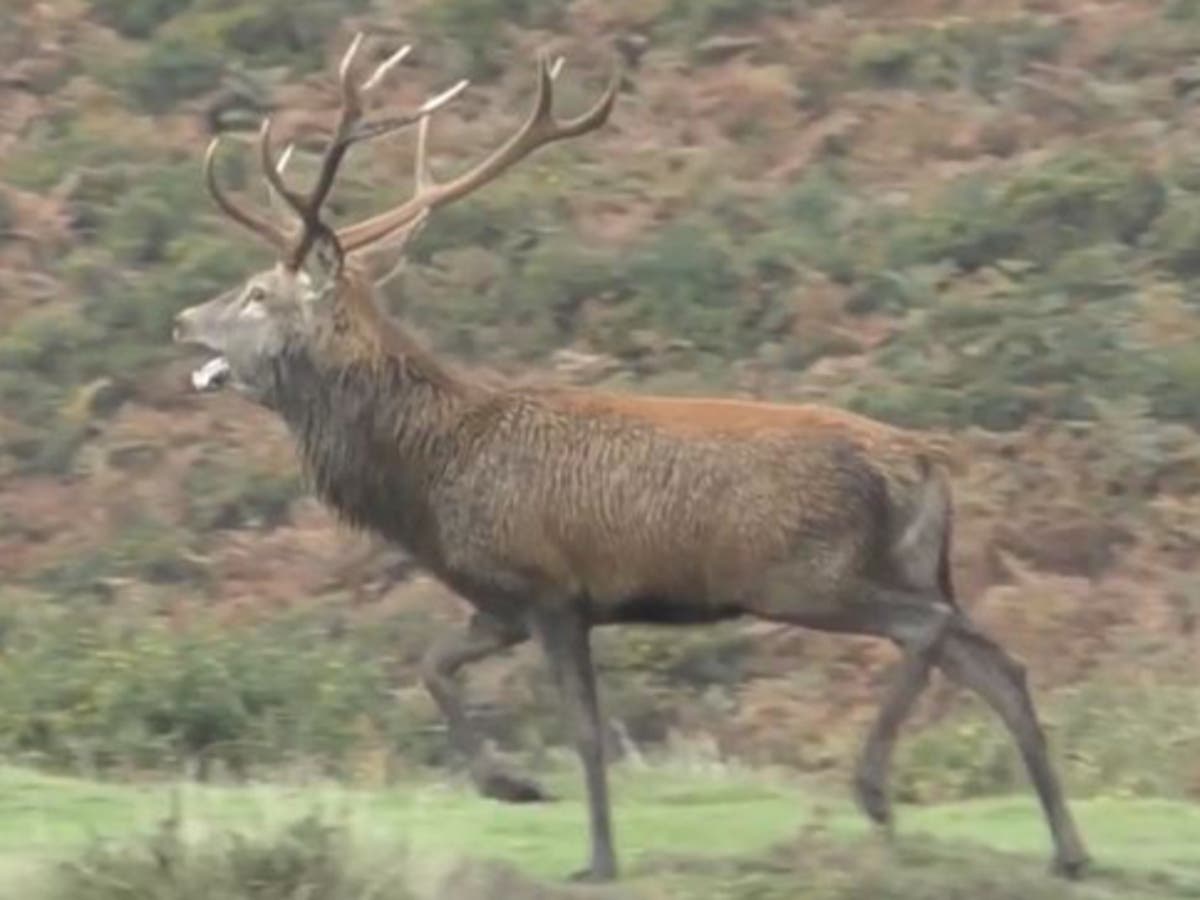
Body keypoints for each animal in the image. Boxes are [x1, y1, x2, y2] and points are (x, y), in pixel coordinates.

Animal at [171, 34, 1091, 883]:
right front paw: (510, 785)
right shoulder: (500, 600)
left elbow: (584, 730)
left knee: (930, 632)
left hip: (805, 573)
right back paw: (1069, 852)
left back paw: (873, 791)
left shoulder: (549, 586)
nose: (183, 320)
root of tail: (923, 461)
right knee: (999, 664)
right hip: (908, 563)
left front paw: (596, 857)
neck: (426, 485)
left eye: (257, 293)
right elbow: (432, 666)